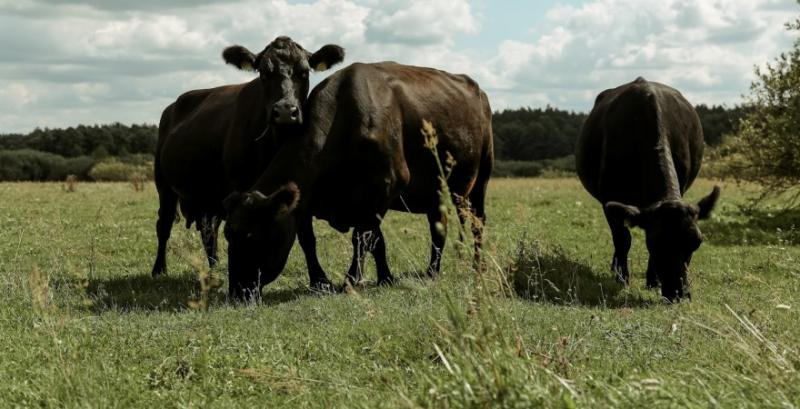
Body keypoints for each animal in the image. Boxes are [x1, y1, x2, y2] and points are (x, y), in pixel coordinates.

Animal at [150, 35, 344, 278]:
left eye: (303, 72)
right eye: (264, 73)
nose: (285, 111)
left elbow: (307, 236)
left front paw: (319, 278)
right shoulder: (239, 187)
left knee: (208, 231)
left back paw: (215, 268)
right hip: (164, 185)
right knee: (164, 224)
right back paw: (159, 269)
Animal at [220, 62, 494, 298]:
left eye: (251, 235)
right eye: (228, 234)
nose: (237, 292)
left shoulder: (385, 185)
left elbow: (362, 238)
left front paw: (352, 281)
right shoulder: (331, 199)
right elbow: (352, 241)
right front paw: (374, 278)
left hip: (480, 178)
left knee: (477, 223)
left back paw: (476, 266)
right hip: (437, 190)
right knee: (439, 226)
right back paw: (432, 271)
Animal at [576, 76, 720, 300]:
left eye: (696, 242)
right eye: (654, 243)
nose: (679, 293)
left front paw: (653, 281)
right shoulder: (610, 197)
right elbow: (622, 239)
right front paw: (622, 279)